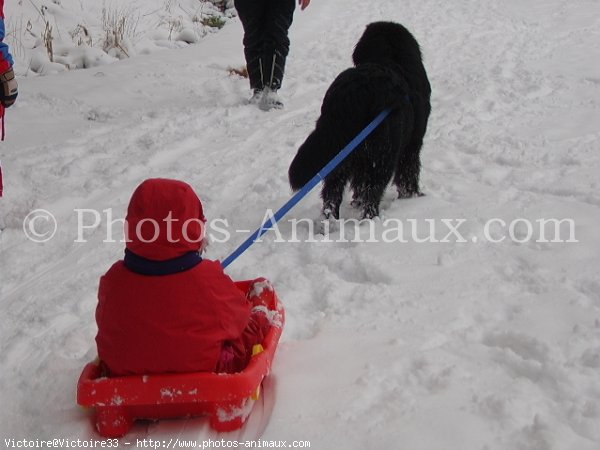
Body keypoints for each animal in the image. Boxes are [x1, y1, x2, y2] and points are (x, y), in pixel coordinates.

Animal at [288, 22, 428, 219]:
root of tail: (356, 90)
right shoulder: (412, 145)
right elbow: (408, 173)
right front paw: (412, 196)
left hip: (338, 151)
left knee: (332, 195)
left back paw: (329, 221)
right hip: (382, 155)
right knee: (372, 192)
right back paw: (370, 219)